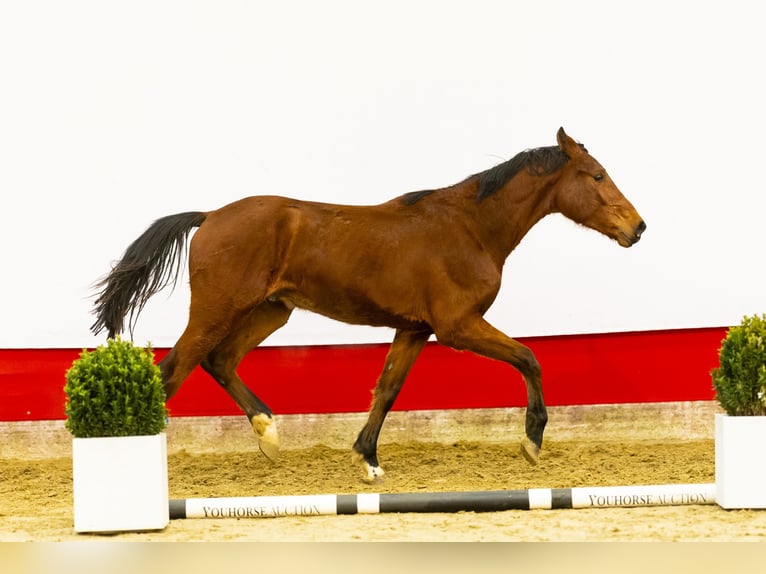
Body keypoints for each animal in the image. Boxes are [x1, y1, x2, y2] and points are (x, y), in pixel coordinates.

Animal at [94, 128, 648, 484]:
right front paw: (531, 443)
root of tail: (209, 216)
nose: (638, 227)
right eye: (597, 176)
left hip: (271, 310)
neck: (470, 228)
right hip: (219, 309)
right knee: (174, 370)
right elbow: (529, 357)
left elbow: (387, 389)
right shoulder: (458, 326)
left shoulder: (415, 329)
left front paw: (369, 459)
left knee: (219, 361)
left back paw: (269, 436)